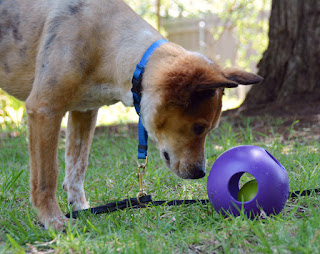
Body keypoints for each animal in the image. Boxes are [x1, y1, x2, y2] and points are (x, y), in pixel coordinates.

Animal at [0, 0, 262, 230]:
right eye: (198, 127)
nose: (200, 173)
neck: (108, 44)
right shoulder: (44, 109)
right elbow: (47, 176)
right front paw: (53, 220)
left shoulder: (84, 111)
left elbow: (77, 166)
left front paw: (81, 209)